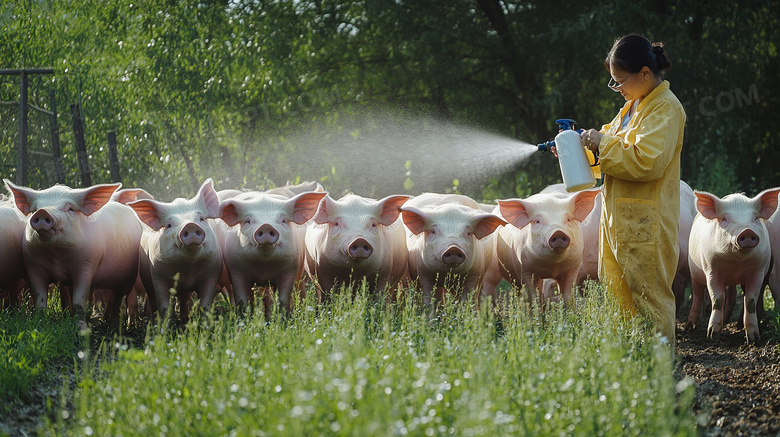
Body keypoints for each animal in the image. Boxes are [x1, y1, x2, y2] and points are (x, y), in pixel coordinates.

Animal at [4, 178, 143, 328]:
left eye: (70, 209)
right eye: (34, 209)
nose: (42, 212)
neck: (55, 254)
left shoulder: (86, 265)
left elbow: (78, 300)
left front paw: (81, 329)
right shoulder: (33, 266)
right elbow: (40, 299)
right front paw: (39, 325)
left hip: (128, 277)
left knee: (119, 301)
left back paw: (115, 327)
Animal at [126, 178, 221, 324]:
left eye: (201, 219)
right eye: (169, 225)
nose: (190, 225)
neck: (188, 267)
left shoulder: (211, 273)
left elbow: (206, 304)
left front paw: (206, 325)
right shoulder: (158, 276)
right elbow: (163, 305)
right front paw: (165, 326)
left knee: (184, 300)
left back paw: (185, 321)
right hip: (146, 279)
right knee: (153, 300)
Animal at [684, 186, 776, 340]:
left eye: (755, 218)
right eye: (724, 219)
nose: (747, 231)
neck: (736, 263)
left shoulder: (758, 271)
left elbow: (750, 300)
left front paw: (754, 339)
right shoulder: (711, 270)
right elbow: (718, 299)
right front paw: (712, 335)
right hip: (694, 273)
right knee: (697, 296)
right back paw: (690, 328)